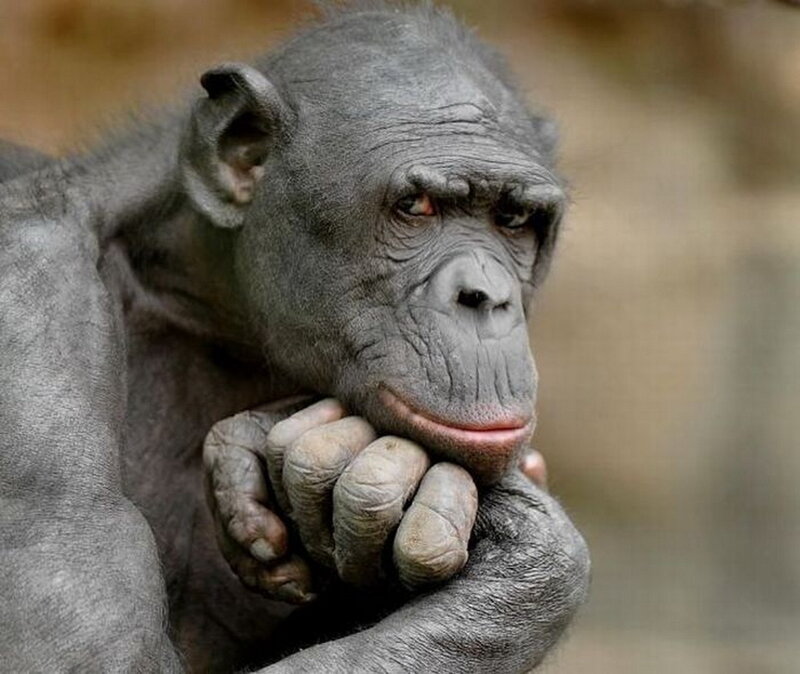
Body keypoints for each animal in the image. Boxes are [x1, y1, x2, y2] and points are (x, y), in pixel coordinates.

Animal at [0, 4, 589, 672]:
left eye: (513, 220)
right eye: (417, 206)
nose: (486, 295)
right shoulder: (26, 312)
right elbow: (98, 656)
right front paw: (531, 548)